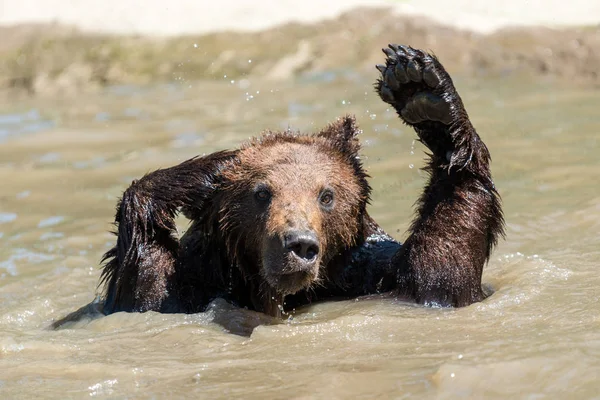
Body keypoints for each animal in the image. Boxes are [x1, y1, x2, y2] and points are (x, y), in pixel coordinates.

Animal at [97, 44, 502, 318]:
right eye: (261, 193)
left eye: (327, 195)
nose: (299, 244)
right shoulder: (199, 282)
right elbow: (147, 289)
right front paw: (212, 168)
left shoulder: (365, 272)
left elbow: (437, 277)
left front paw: (420, 87)